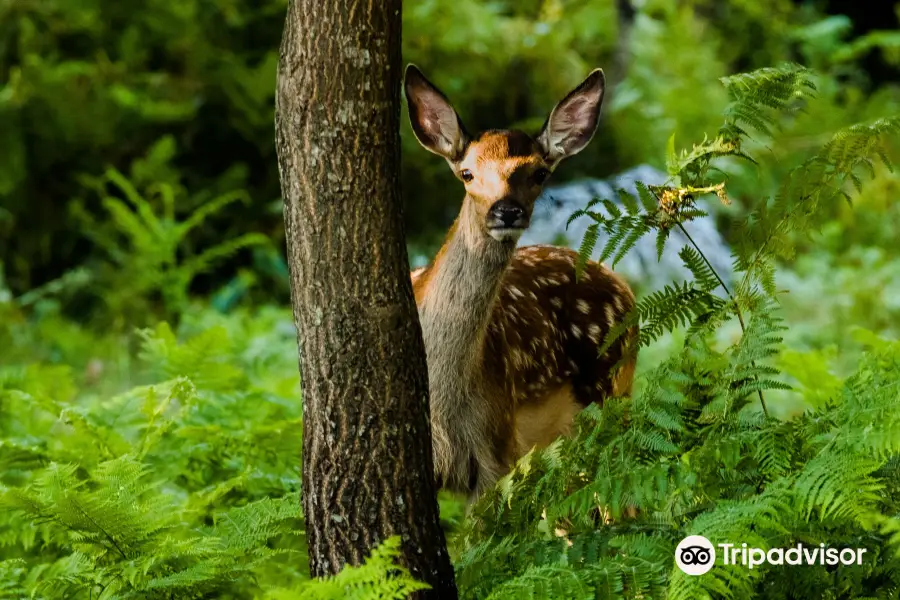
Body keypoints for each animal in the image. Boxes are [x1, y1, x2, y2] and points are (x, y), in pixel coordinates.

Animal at [404, 63, 636, 500]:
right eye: (467, 173)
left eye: (540, 173)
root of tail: (624, 284)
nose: (506, 211)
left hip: (612, 397)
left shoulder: (496, 449)